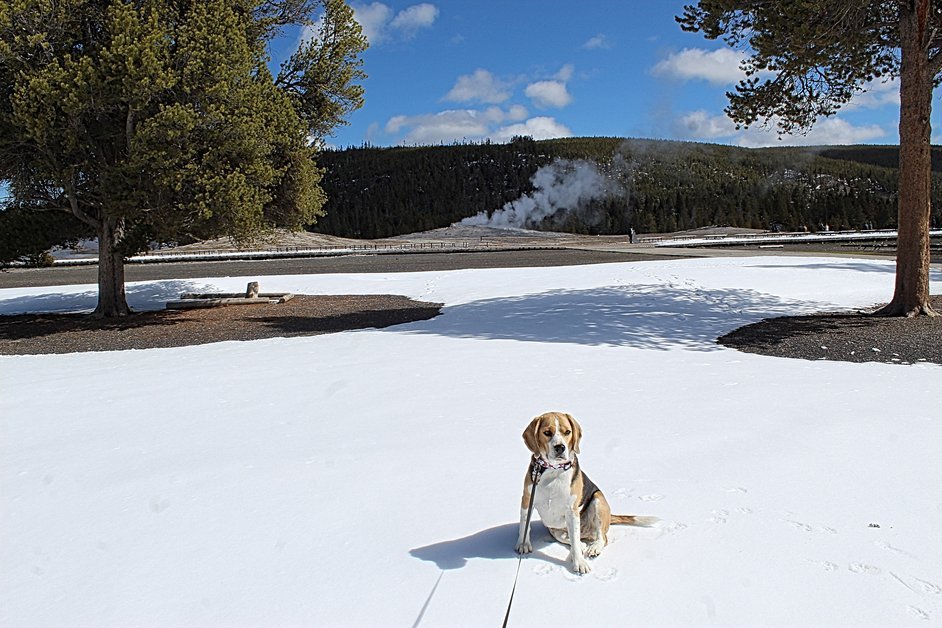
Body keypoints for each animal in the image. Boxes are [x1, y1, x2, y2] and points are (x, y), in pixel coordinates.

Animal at [516, 412, 656, 576]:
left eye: (567, 432)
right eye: (547, 433)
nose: (560, 447)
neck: (552, 470)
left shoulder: (571, 510)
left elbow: (576, 543)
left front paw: (580, 563)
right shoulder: (527, 500)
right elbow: (524, 525)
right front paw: (523, 544)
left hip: (598, 501)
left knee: (600, 537)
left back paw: (593, 548)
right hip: (555, 529)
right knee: (571, 537)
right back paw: (582, 545)